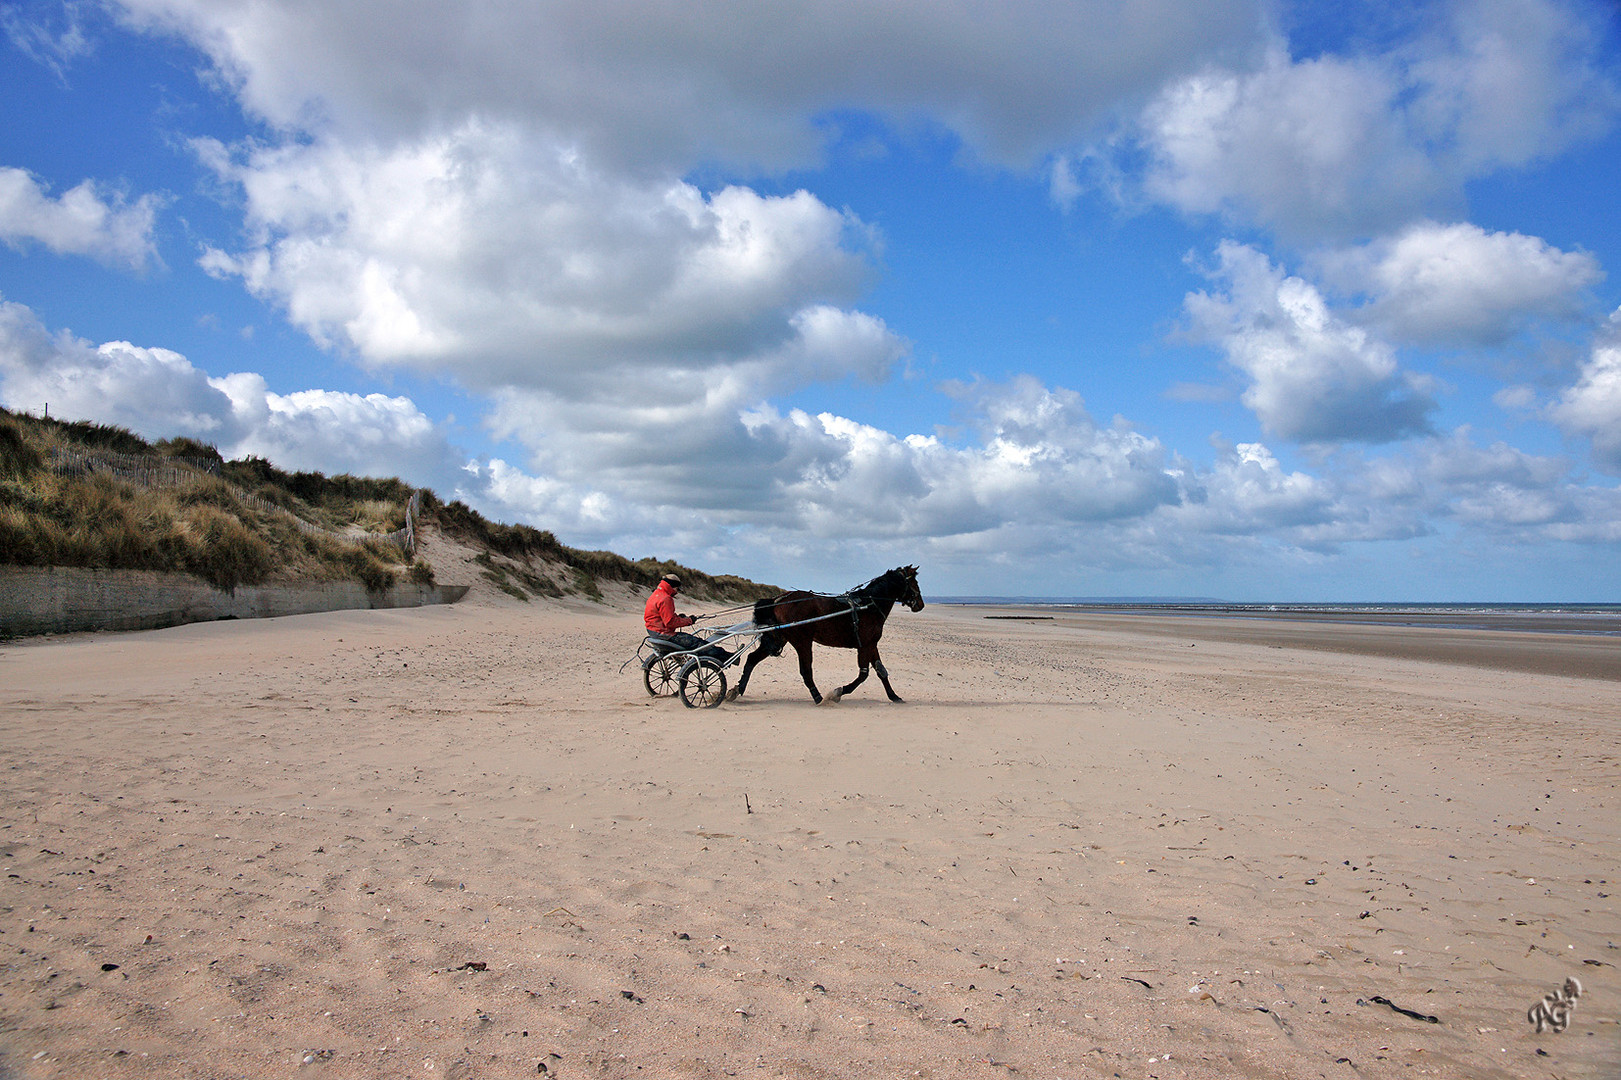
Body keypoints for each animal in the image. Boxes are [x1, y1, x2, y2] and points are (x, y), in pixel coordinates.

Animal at [726, 564, 920, 707]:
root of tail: (779, 600)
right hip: (802, 642)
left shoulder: (871, 644)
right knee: (806, 672)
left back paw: (738, 689)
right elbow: (863, 675)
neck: (868, 605)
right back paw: (819, 698)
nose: (921, 604)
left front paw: (894, 696)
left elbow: (881, 671)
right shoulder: (865, 645)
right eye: (914, 583)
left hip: (780, 638)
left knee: (752, 659)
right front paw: (838, 692)